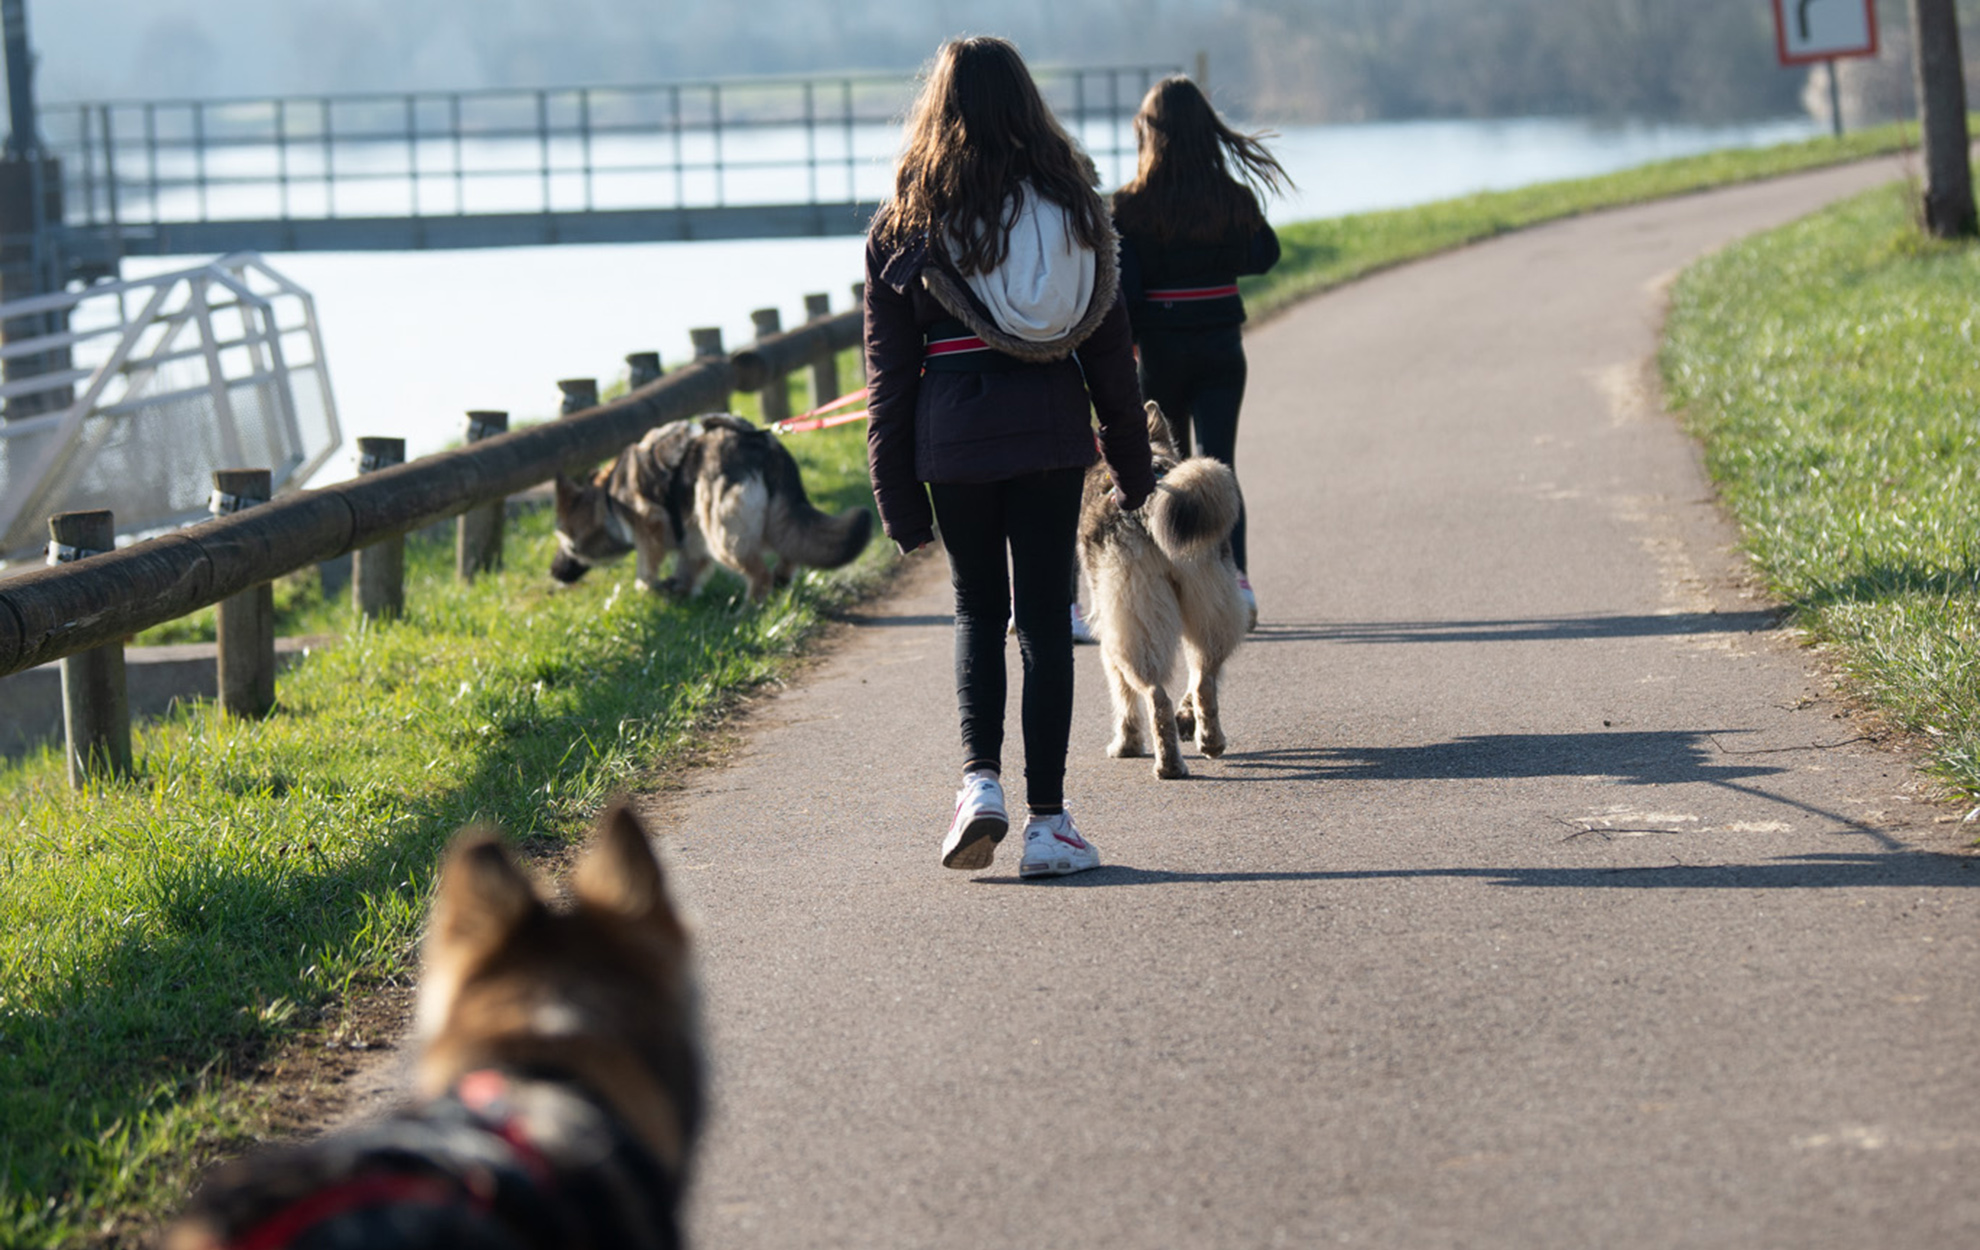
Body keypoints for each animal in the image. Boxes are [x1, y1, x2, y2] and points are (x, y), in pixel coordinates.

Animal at [554, 416, 871, 602]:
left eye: (566, 544)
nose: (553, 572)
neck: (606, 497)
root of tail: (763, 445)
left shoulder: (648, 529)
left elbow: (645, 570)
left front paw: (649, 591)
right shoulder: (689, 539)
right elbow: (687, 566)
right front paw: (678, 590)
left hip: (721, 533)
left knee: (760, 574)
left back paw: (751, 608)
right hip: (764, 522)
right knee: (790, 551)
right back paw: (781, 579)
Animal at [1077, 406, 1243, 776]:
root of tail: (1150, 500)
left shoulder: (1109, 633)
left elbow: (1122, 697)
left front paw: (1126, 745)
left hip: (1135, 626)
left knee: (1156, 695)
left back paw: (1168, 765)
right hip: (1211, 607)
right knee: (1204, 678)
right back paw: (1210, 740)